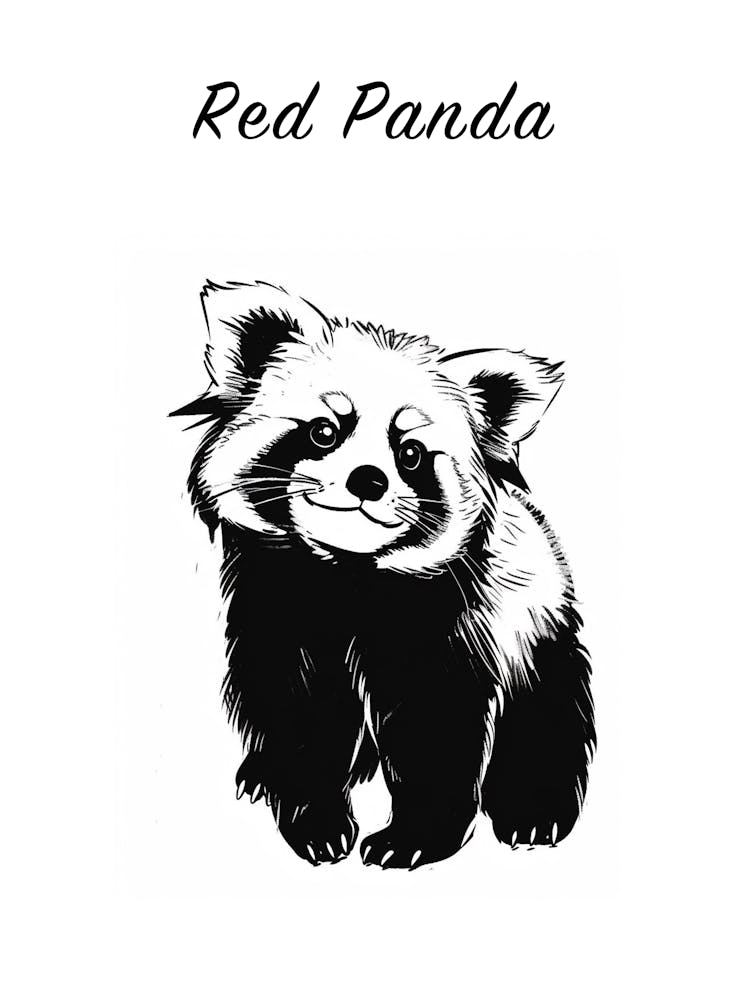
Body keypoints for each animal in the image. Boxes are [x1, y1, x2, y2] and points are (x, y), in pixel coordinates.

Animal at [172, 279, 596, 869]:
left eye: (411, 453)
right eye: (323, 431)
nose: (367, 479)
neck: (347, 579)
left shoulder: (449, 626)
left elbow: (436, 730)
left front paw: (413, 837)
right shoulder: (279, 610)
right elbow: (298, 719)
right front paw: (315, 822)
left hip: (536, 620)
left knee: (547, 709)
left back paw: (533, 811)